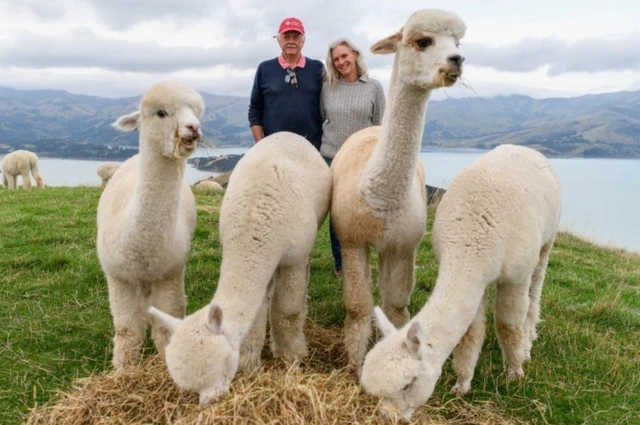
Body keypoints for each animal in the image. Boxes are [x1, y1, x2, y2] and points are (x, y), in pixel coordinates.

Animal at [97, 81, 204, 370]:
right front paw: (123, 370)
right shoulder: (119, 277)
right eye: (161, 113)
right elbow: (127, 330)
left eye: (196, 112)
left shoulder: (169, 273)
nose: (193, 128)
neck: (142, 245)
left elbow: (165, 328)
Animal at [149, 132, 330, 404]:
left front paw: (292, 358)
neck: (254, 224)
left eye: (218, 367)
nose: (209, 401)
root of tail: (288, 134)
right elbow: (255, 318)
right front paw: (249, 365)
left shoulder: (293, 258)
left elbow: (287, 312)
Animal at [362, 144, 564, 420]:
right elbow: (470, 333)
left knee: (534, 292)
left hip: (545, 242)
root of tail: (523, 147)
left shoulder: (516, 274)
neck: (472, 241)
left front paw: (515, 372)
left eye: (407, 384)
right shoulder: (474, 280)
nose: (386, 416)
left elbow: (508, 325)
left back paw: (529, 343)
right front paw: (462, 383)